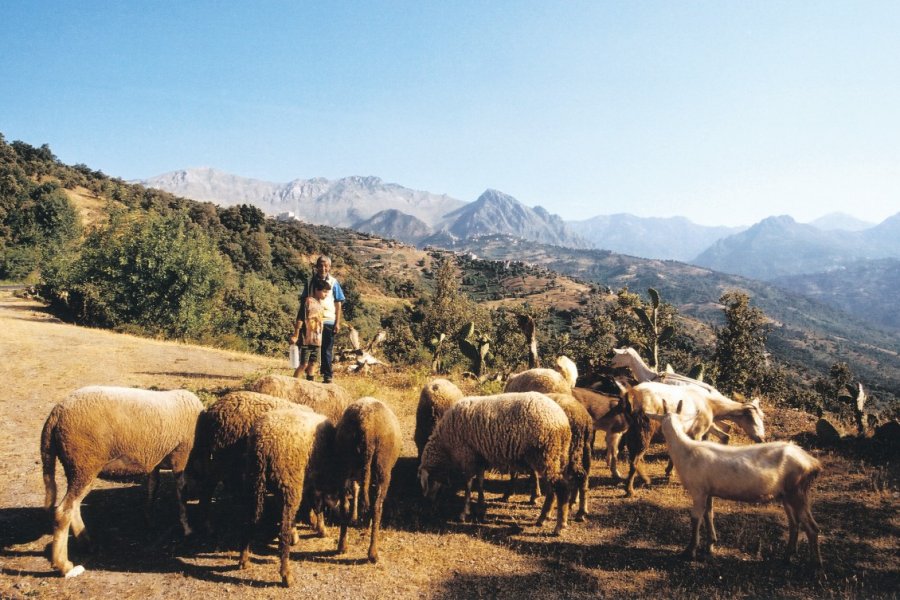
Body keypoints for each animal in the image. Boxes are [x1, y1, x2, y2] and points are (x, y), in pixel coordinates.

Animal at [41, 386, 202, 580]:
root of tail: (56, 413)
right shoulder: (181, 456)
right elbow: (180, 493)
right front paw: (187, 528)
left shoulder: (153, 460)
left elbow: (152, 487)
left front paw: (149, 519)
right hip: (84, 465)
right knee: (64, 511)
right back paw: (65, 566)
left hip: (76, 467)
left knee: (74, 507)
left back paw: (87, 544)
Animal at [237, 408, 336, 584]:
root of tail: (264, 442)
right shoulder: (315, 478)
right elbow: (316, 505)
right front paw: (321, 529)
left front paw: (297, 531)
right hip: (289, 479)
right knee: (282, 531)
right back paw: (286, 575)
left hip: (254, 479)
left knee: (249, 520)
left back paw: (243, 559)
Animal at [420, 394, 572, 536]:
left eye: (429, 482)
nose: (428, 501)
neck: (445, 445)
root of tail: (562, 421)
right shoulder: (479, 457)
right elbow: (480, 482)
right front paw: (480, 507)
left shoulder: (467, 455)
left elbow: (468, 485)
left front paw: (464, 513)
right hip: (556, 456)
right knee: (552, 489)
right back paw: (543, 517)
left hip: (545, 454)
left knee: (562, 487)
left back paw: (559, 525)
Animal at [652, 400, 820, 564]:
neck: (686, 451)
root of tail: (812, 463)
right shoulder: (708, 491)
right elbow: (709, 513)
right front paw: (710, 544)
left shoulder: (698, 490)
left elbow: (695, 518)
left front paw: (689, 552)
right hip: (787, 495)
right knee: (795, 524)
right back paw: (787, 556)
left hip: (798, 492)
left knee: (812, 527)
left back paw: (816, 565)